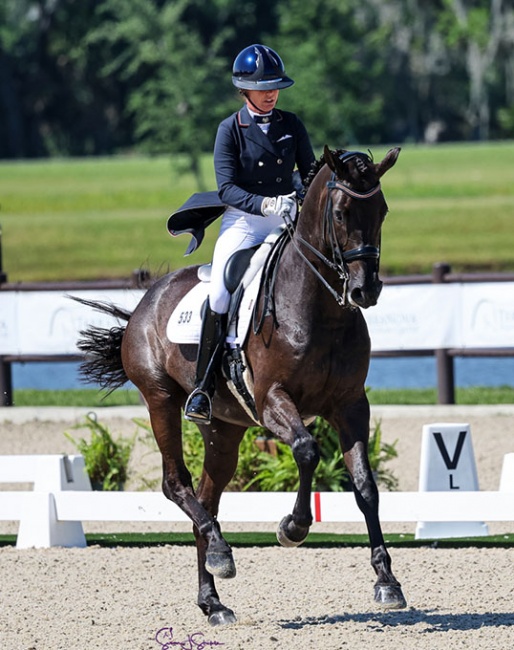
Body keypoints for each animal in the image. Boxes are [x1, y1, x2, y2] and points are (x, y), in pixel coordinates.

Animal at [77, 146, 404, 624]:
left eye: (381, 210)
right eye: (342, 213)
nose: (366, 290)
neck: (319, 309)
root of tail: (146, 300)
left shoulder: (350, 406)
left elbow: (365, 486)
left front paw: (386, 581)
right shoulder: (272, 401)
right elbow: (307, 451)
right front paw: (292, 528)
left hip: (223, 430)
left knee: (207, 499)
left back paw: (212, 597)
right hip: (160, 399)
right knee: (176, 484)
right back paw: (221, 554)